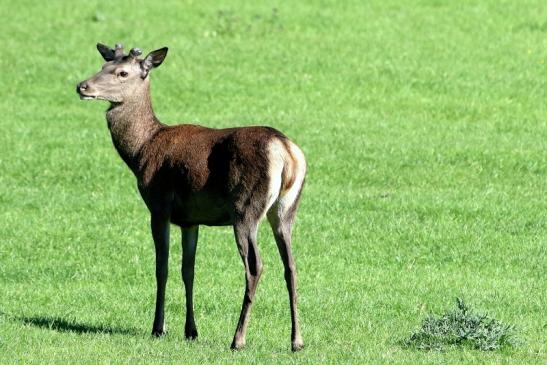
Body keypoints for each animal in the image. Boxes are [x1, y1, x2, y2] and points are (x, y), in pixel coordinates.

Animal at [76, 42, 308, 350]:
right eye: (103, 65)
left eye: (122, 72)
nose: (82, 86)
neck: (141, 151)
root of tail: (286, 152)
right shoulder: (190, 220)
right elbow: (189, 270)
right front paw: (190, 330)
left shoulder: (159, 206)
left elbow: (161, 267)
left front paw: (158, 328)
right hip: (285, 209)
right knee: (291, 266)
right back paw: (297, 340)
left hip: (245, 208)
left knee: (255, 266)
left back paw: (238, 339)